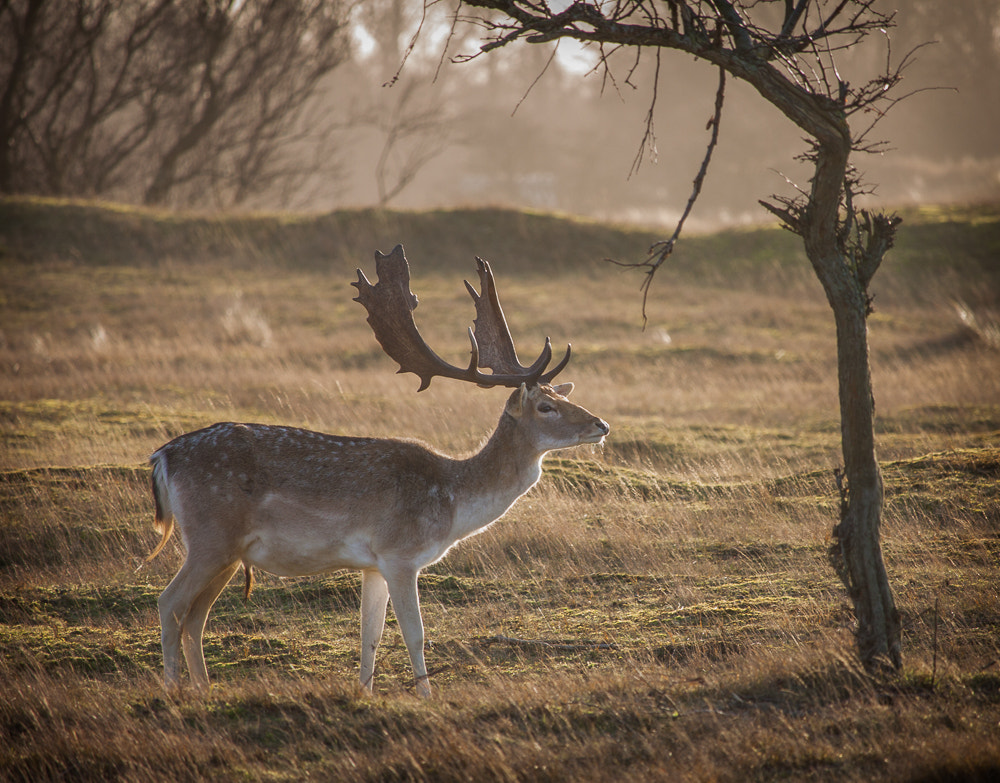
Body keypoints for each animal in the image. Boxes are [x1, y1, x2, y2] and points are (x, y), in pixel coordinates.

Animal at [145, 244, 609, 697]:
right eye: (546, 406)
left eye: (563, 396)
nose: (601, 424)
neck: (452, 503)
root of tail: (161, 459)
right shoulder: (399, 553)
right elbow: (414, 634)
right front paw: (426, 697)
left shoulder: (372, 563)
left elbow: (370, 635)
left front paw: (365, 693)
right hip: (211, 535)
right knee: (170, 603)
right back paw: (172, 690)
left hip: (227, 551)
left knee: (195, 616)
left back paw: (205, 690)